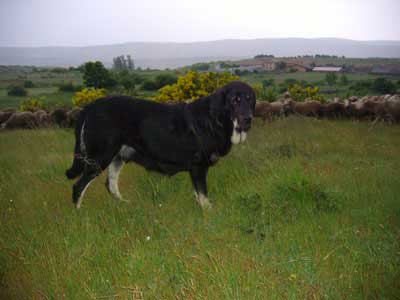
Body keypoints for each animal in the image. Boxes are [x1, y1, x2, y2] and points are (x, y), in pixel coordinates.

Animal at [64, 81, 255, 209]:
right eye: (235, 100)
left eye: (250, 99)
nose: (248, 119)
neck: (215, 120)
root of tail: (89, 107)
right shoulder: (198, 167)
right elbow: (203, 194)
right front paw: (209, 212)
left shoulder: (195, 170)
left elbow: (198, 194)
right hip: (100, 157)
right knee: (78, 187)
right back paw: (80, 214)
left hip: (118, 156)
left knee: (111, 184)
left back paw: (125, 206)